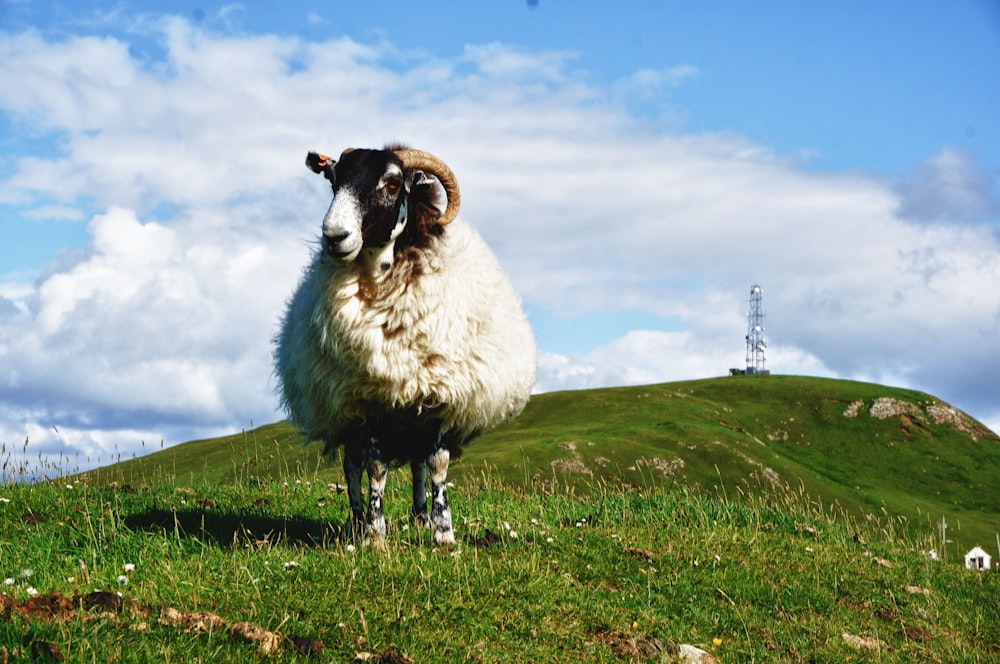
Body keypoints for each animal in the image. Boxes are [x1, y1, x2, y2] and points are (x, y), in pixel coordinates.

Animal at [274, 144, 540, 544]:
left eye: (393, 182)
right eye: (333, 181)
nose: (334, 236)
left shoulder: (439, 398)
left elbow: (437, 467)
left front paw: (443, 533)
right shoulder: (369, 403)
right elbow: (375, 470)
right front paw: (375, 535)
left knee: (417, 465)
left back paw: (420, 517)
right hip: (345, 414)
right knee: (352, 467)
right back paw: (357, 525)